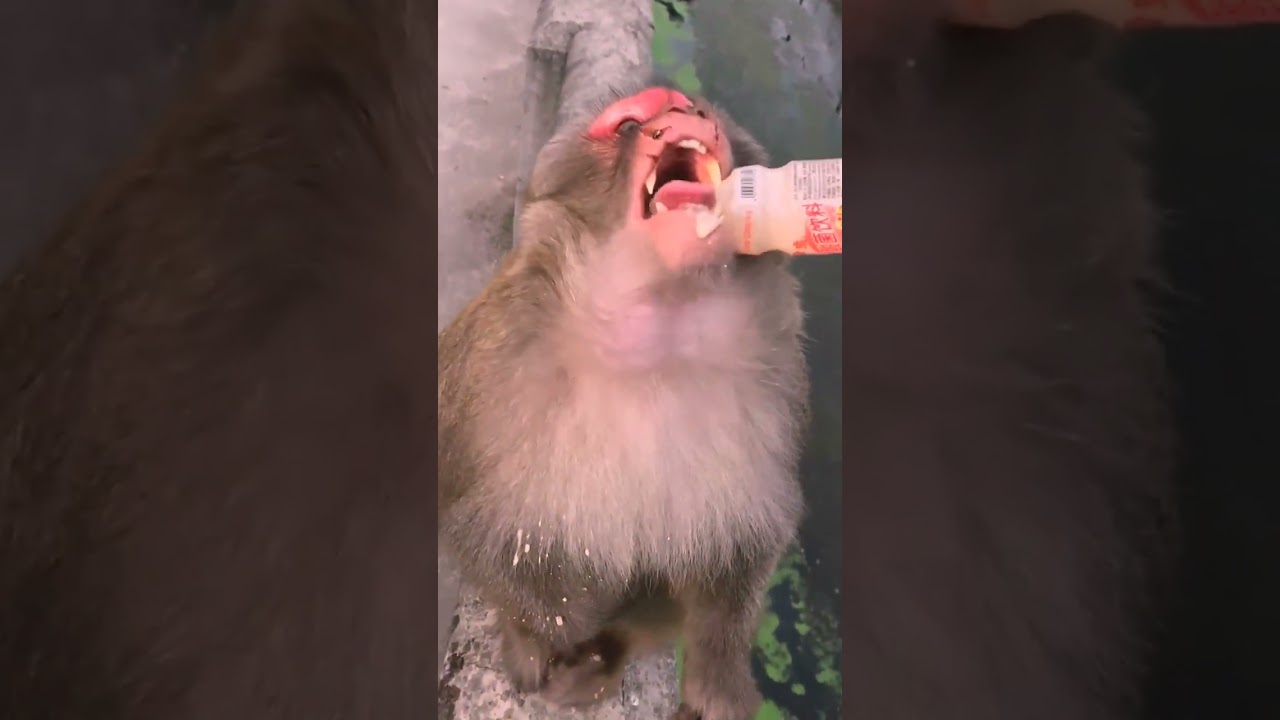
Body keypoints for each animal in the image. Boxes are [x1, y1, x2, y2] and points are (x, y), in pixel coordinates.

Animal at [437, 85, 810, 720]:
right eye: (631, 122)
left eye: (697, 109)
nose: (688, 115)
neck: (656, 329)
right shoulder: (495, 363)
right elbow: (480, 531)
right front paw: (559, 626)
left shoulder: (776, 375)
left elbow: (746, 540)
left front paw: (717, 672)